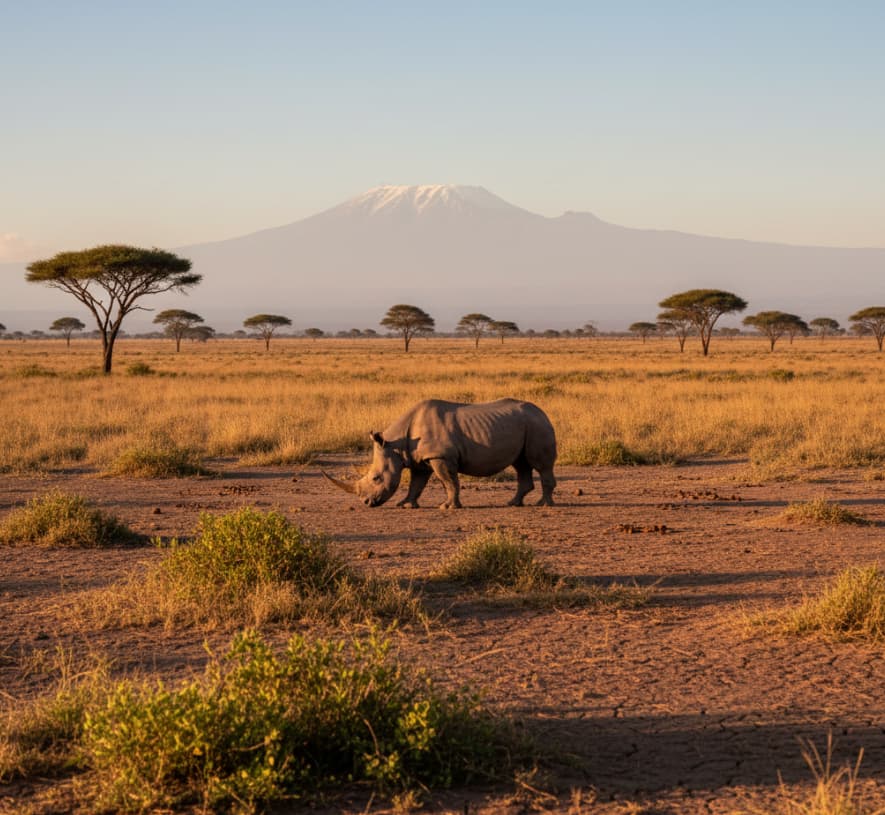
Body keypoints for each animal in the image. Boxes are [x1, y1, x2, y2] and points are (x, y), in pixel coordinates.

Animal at [323, 398, 556, 509]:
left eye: (376, 478)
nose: (366, 503)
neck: (395, 444)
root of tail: (543, 412)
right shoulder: (420, 459)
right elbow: (416, 484)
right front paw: (406, 505)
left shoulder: (440, 456)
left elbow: (449, 481)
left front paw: (447, 507)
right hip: (526, 425)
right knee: (521, 464)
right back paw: (513, 503)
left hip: (537, 425)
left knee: (540, 464)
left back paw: (543, 504)